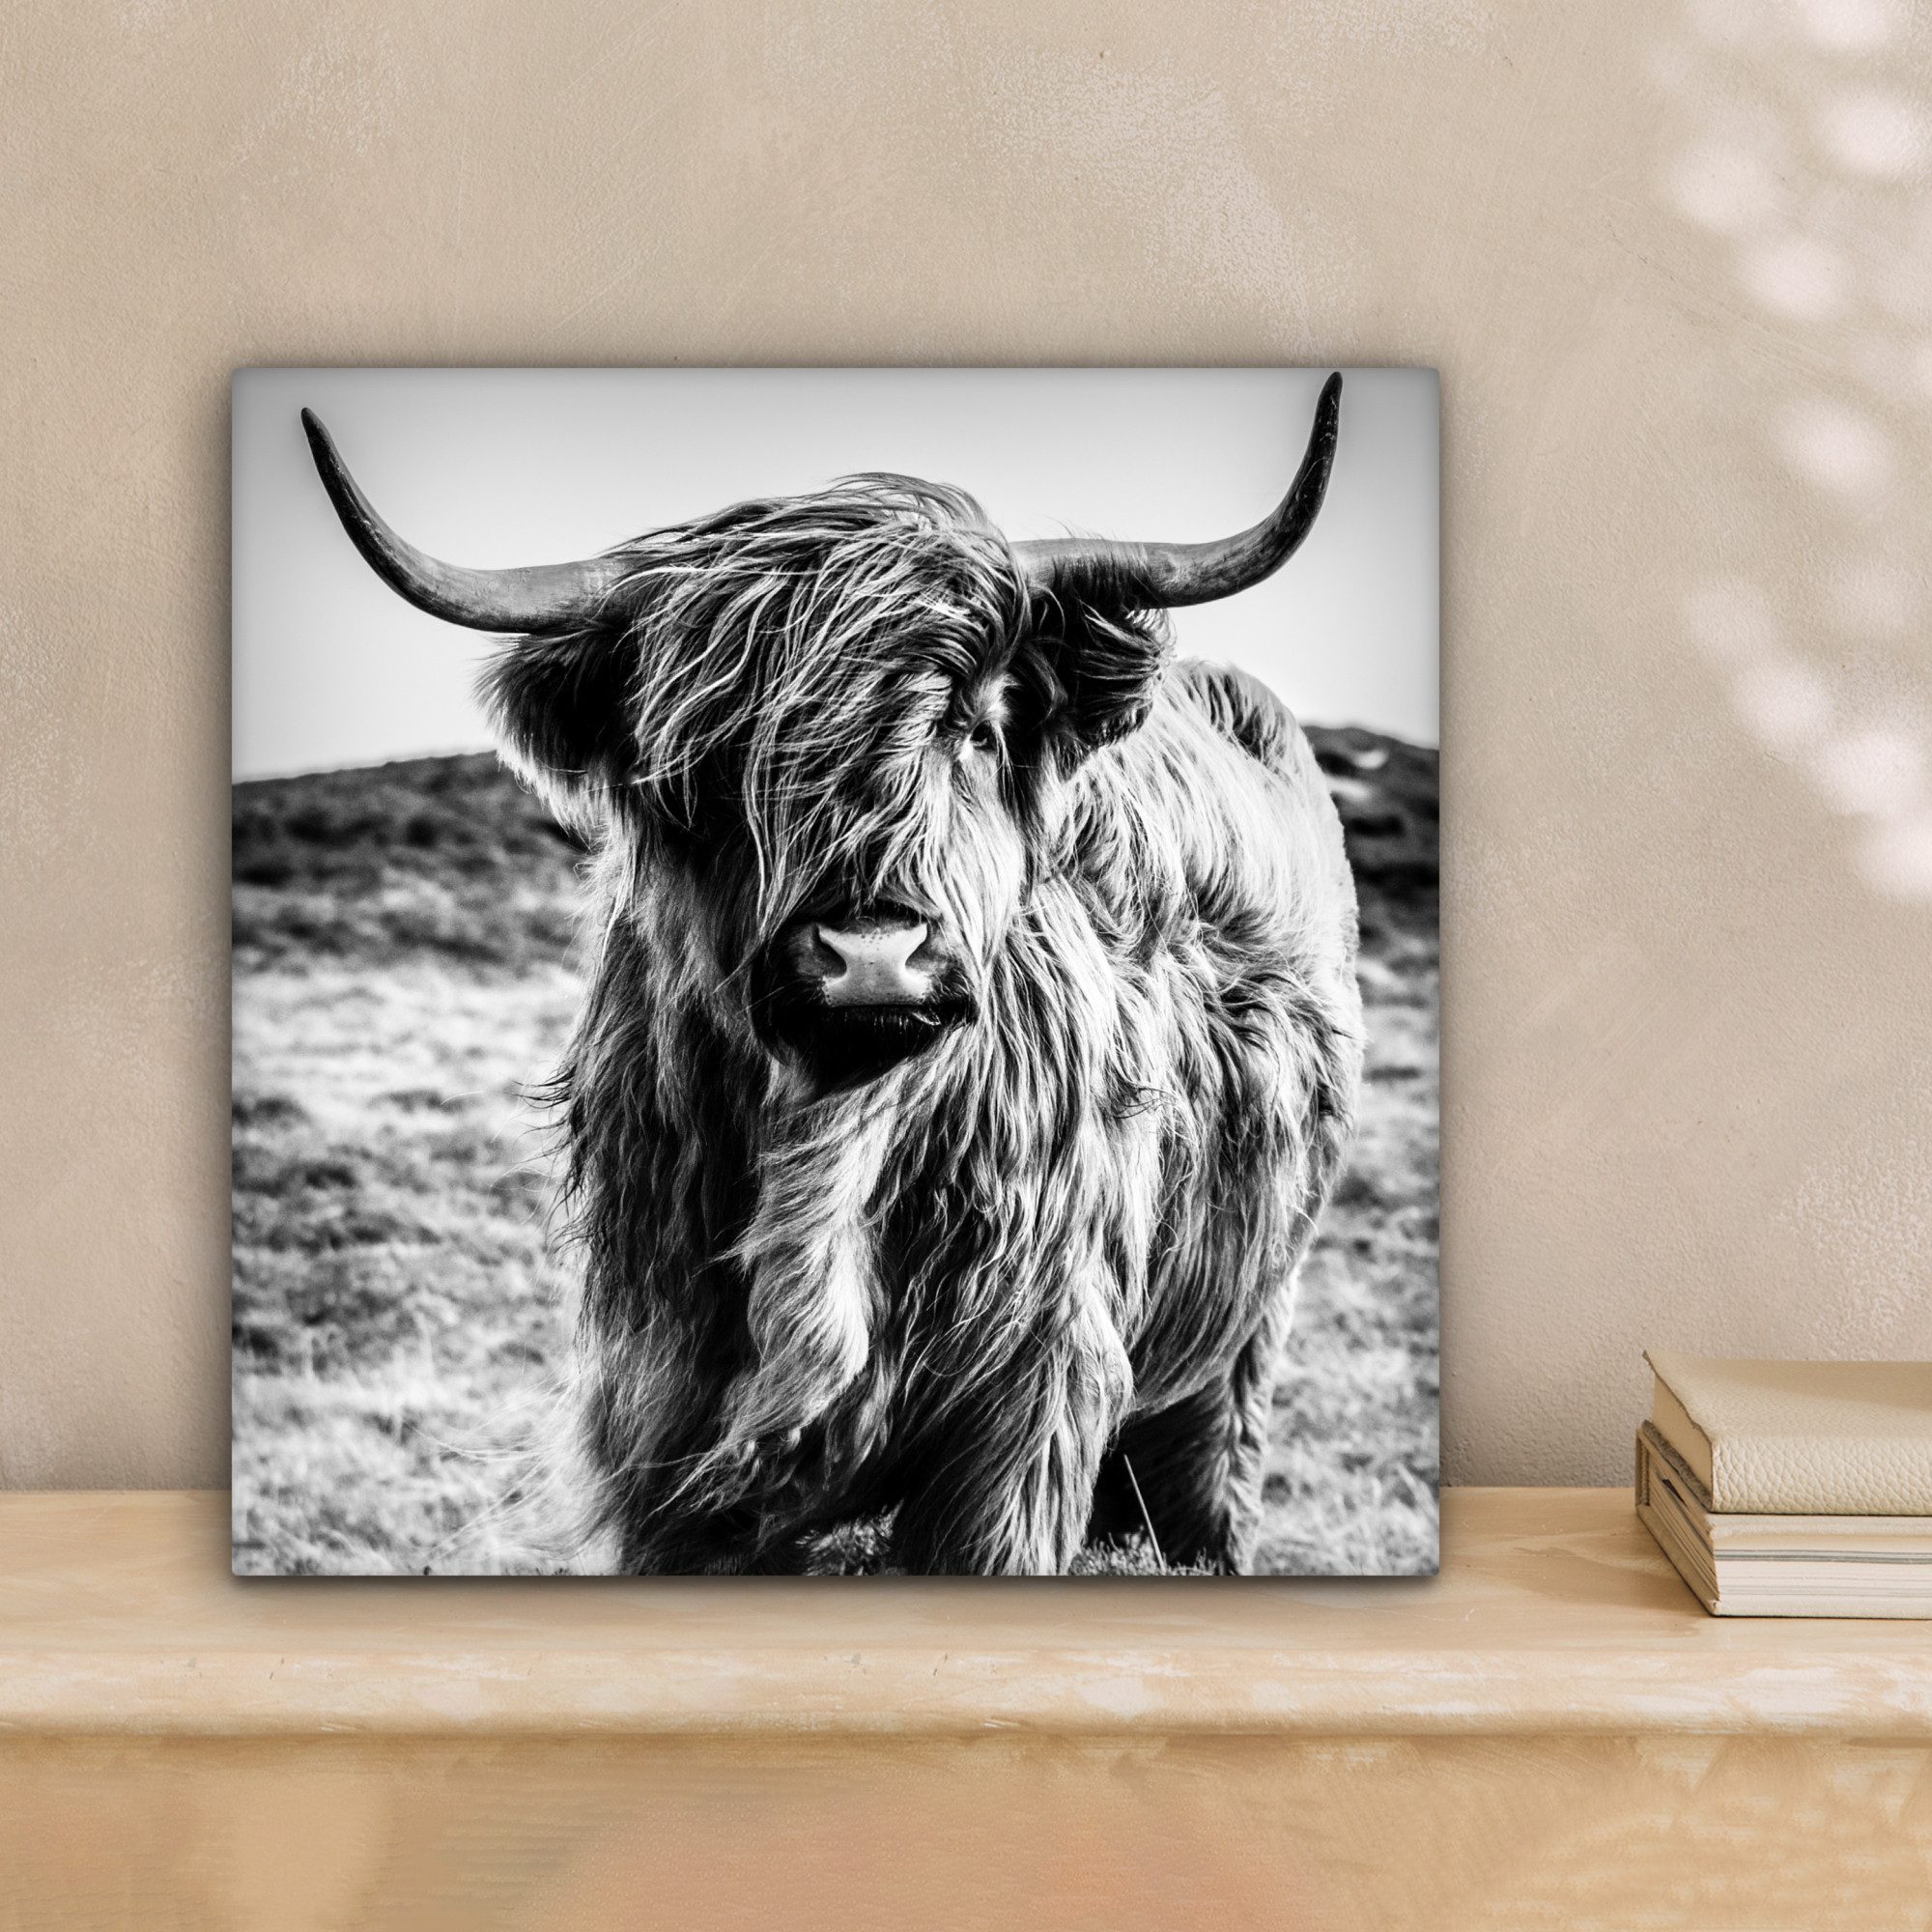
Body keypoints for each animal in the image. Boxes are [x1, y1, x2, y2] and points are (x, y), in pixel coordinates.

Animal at [301, 375, 1363, 1574]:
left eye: (976, 725)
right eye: (712, 759)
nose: (871, 955)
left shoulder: (1025, 1406)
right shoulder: (661, 1416)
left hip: (1239, 1337)